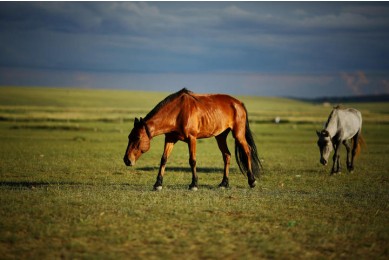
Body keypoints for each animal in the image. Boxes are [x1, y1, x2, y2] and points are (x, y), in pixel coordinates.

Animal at [123, 88, 260, 190]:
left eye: (137, 137)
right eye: (129, 137)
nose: (127, 160)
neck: (177, 112)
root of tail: (239, 103)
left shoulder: (192, 139)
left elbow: (192, 160)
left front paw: (194, 184)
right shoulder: (170, 139)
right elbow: (164, 159)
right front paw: (158, 184)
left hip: (238, 134)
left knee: (247, 151)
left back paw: (252, 180)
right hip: (220, 136)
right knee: (227, 155)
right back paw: (224, 183)